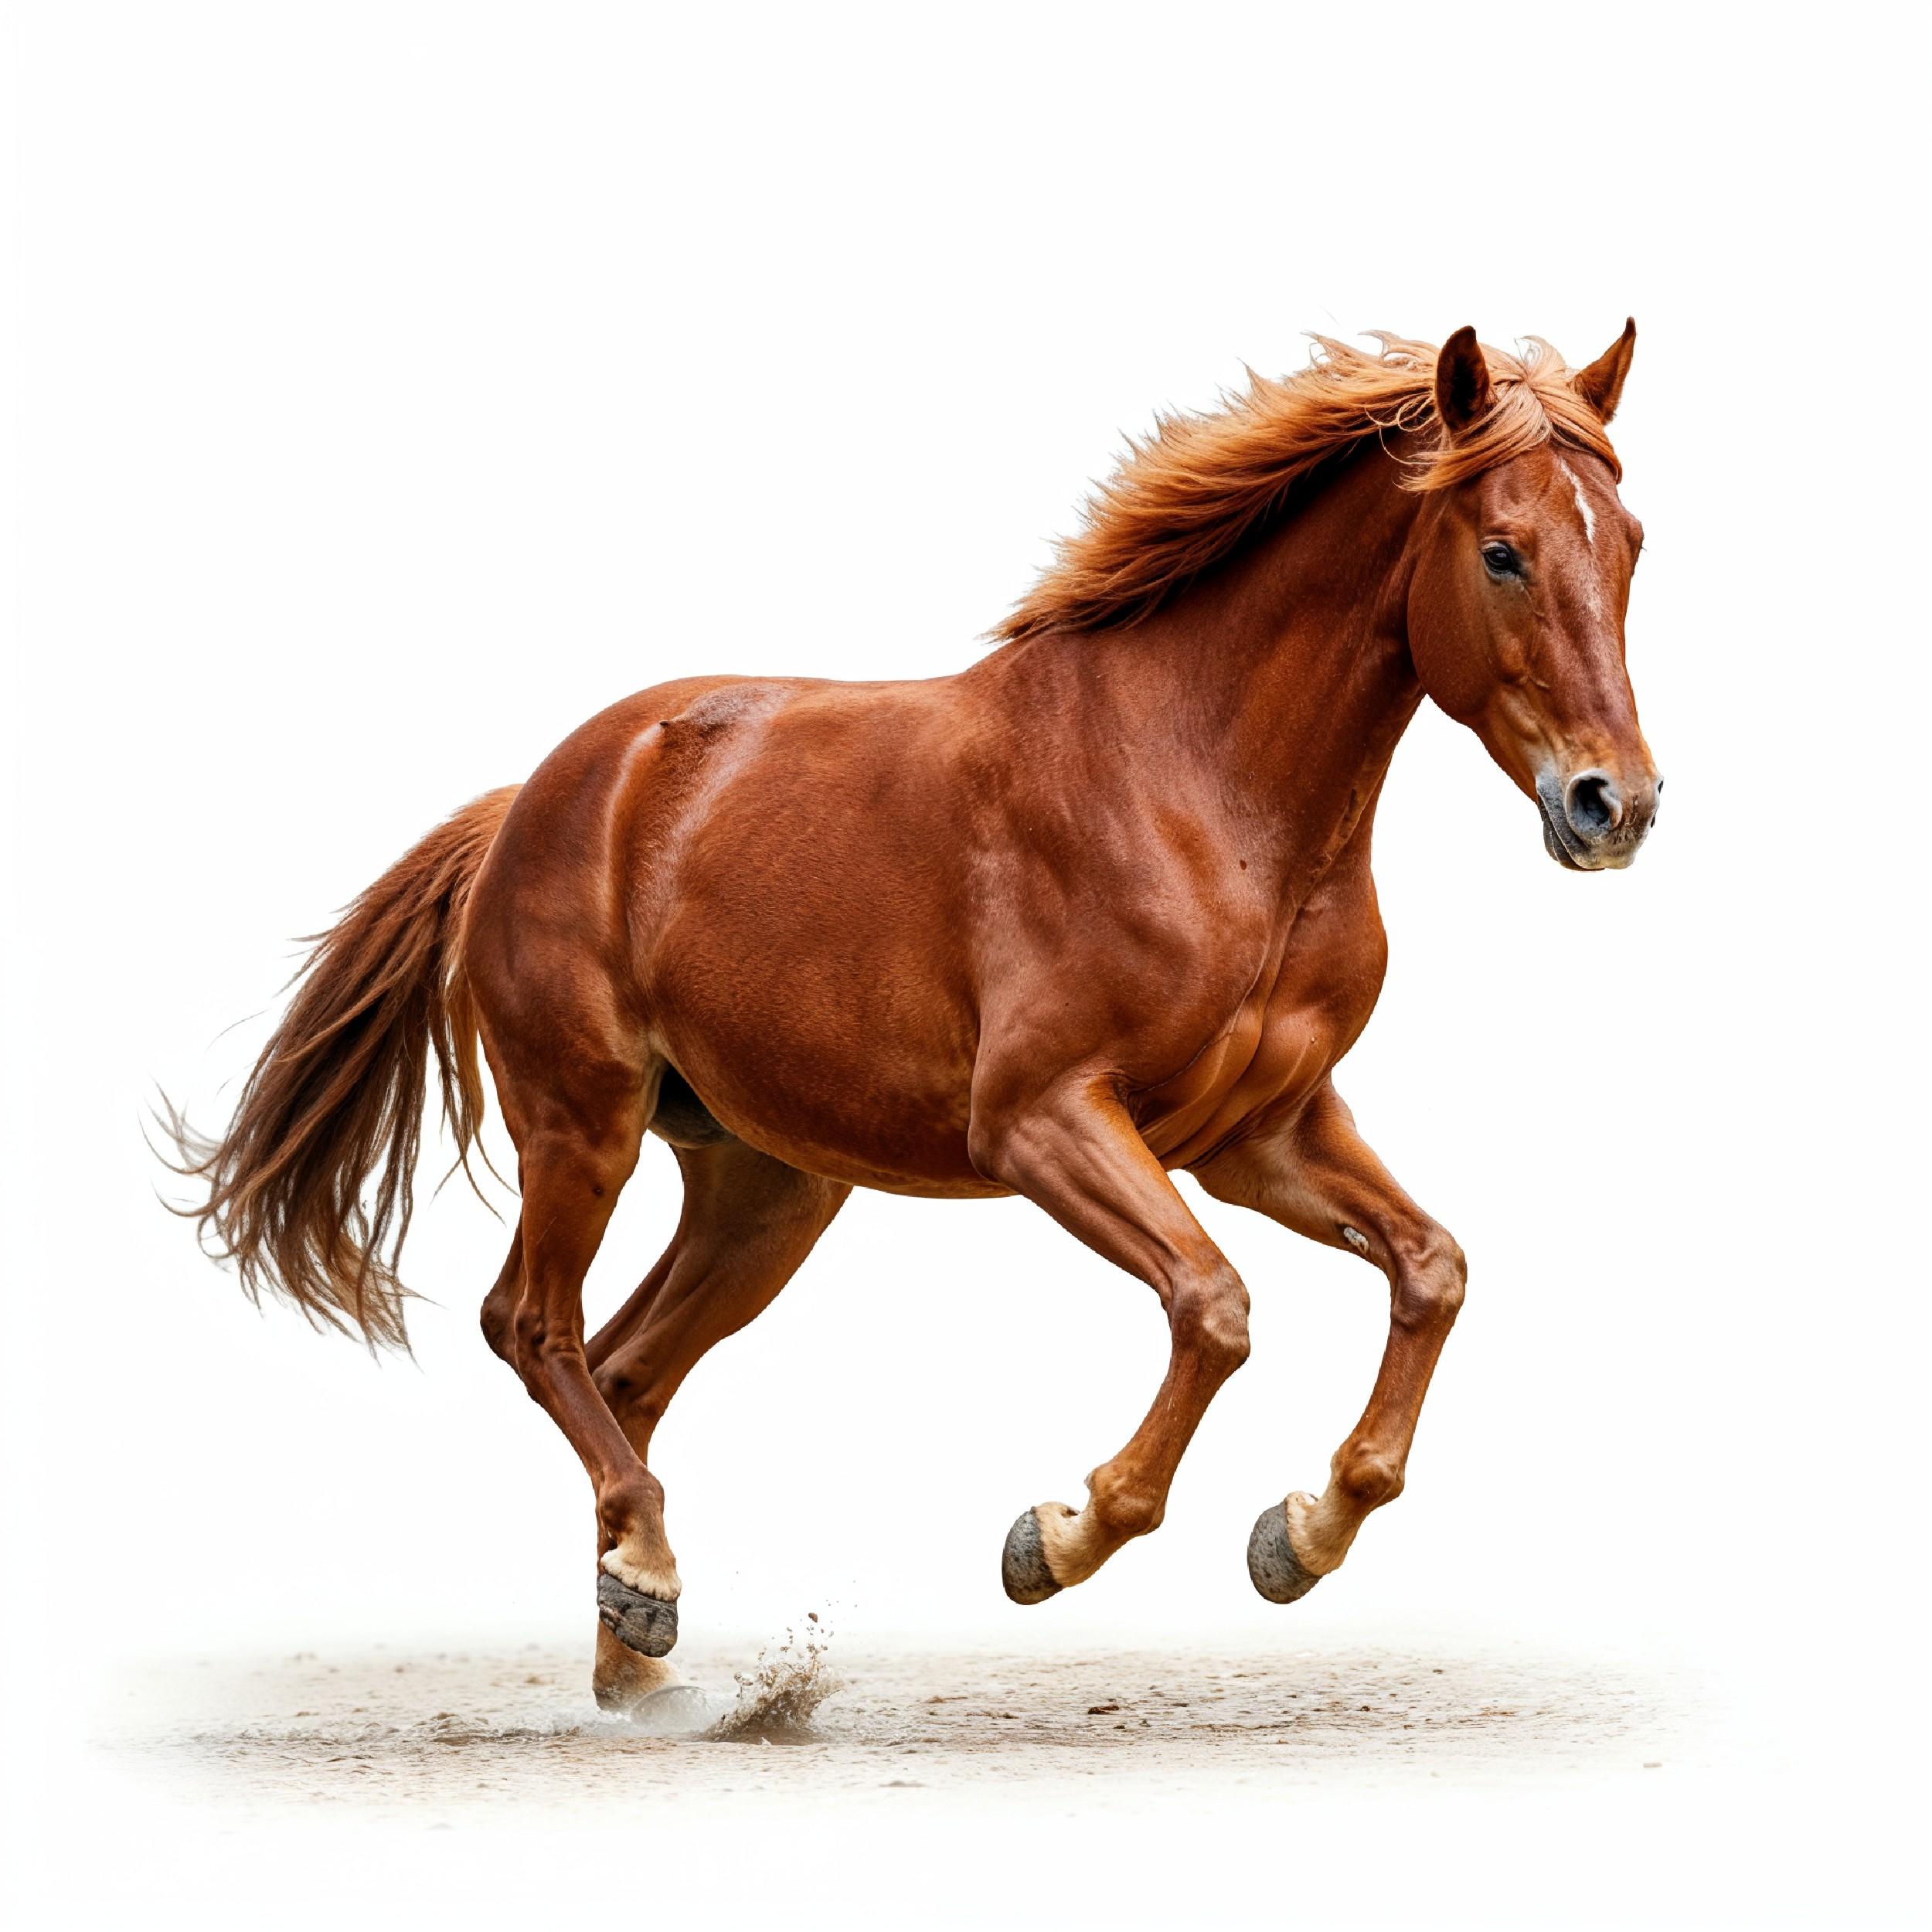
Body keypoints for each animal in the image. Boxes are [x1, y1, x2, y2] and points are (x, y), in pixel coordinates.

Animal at [165, 322, 1659, 1712]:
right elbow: (1215, 1306)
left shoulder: (1264, 1132)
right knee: (530, 1327)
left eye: (1633, 543)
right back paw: (646, 1584)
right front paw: (1057, 1539)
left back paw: (640, 1661)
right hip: (580, 1124)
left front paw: (1301, 1534)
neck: (1202, 789)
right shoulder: (1044, 1119)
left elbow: (1433, 1268)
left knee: (629, 1367)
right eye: (1504, 552)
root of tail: (531, 800)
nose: (1616, 805)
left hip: (767, 1188)